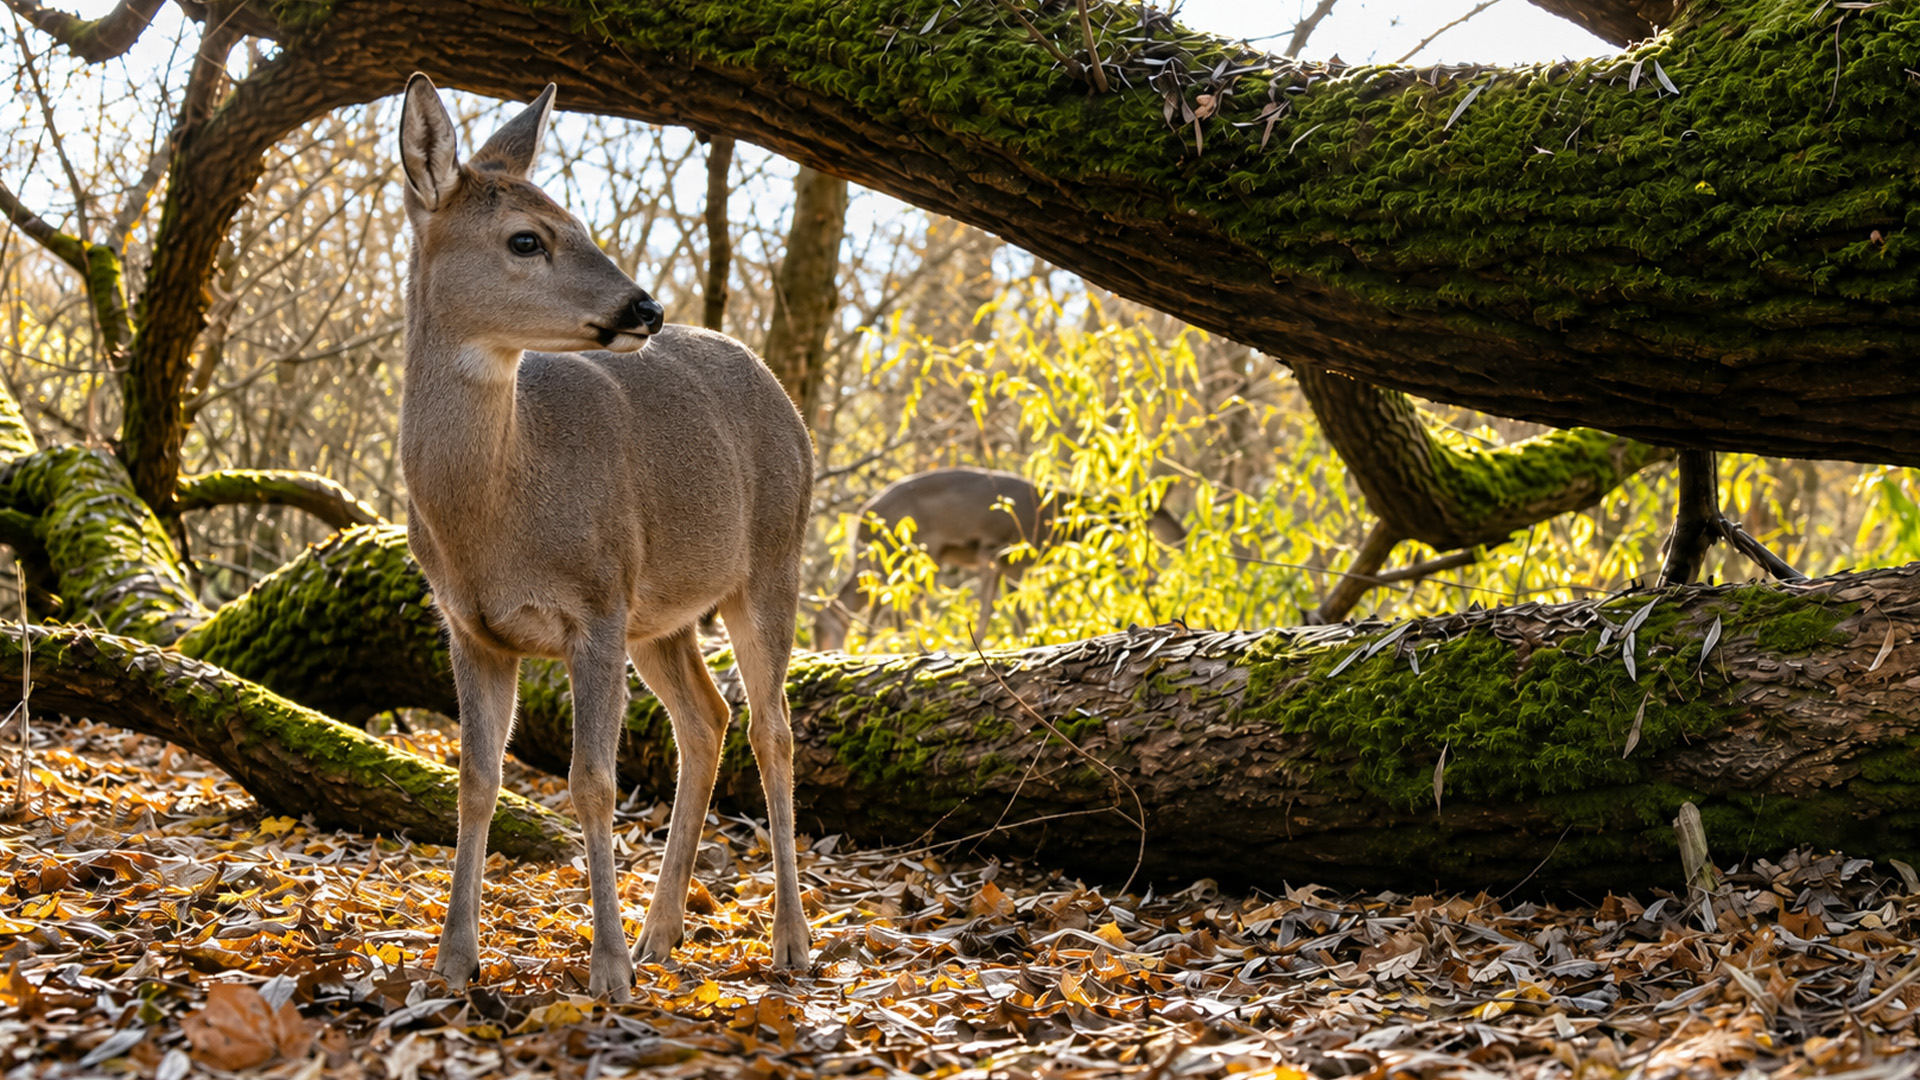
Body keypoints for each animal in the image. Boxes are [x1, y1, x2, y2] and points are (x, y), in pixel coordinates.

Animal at [397, 74, 814, 1000]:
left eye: (580, 224)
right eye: (526, 238)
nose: (644, 307)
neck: (499, 508)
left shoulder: (594, 605)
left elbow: (592, 782)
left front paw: (608, 969)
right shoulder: (470, 626)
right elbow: (475, 779)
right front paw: (451, 962)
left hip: (770, 560)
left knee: (771, 729)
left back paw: (790, 944)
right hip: (661, 612)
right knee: (707, 718)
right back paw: (666, 932)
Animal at [814, 467, 1186, 651]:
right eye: (1158, 513)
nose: (1182, 536)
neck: (1050, 519)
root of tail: (862, 517)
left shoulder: (1009, 564)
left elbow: (1008, 611)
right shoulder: (998, 551)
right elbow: (992, 610)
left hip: (900, 558)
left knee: (870, 604)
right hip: (904, 553)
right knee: (881, 605)